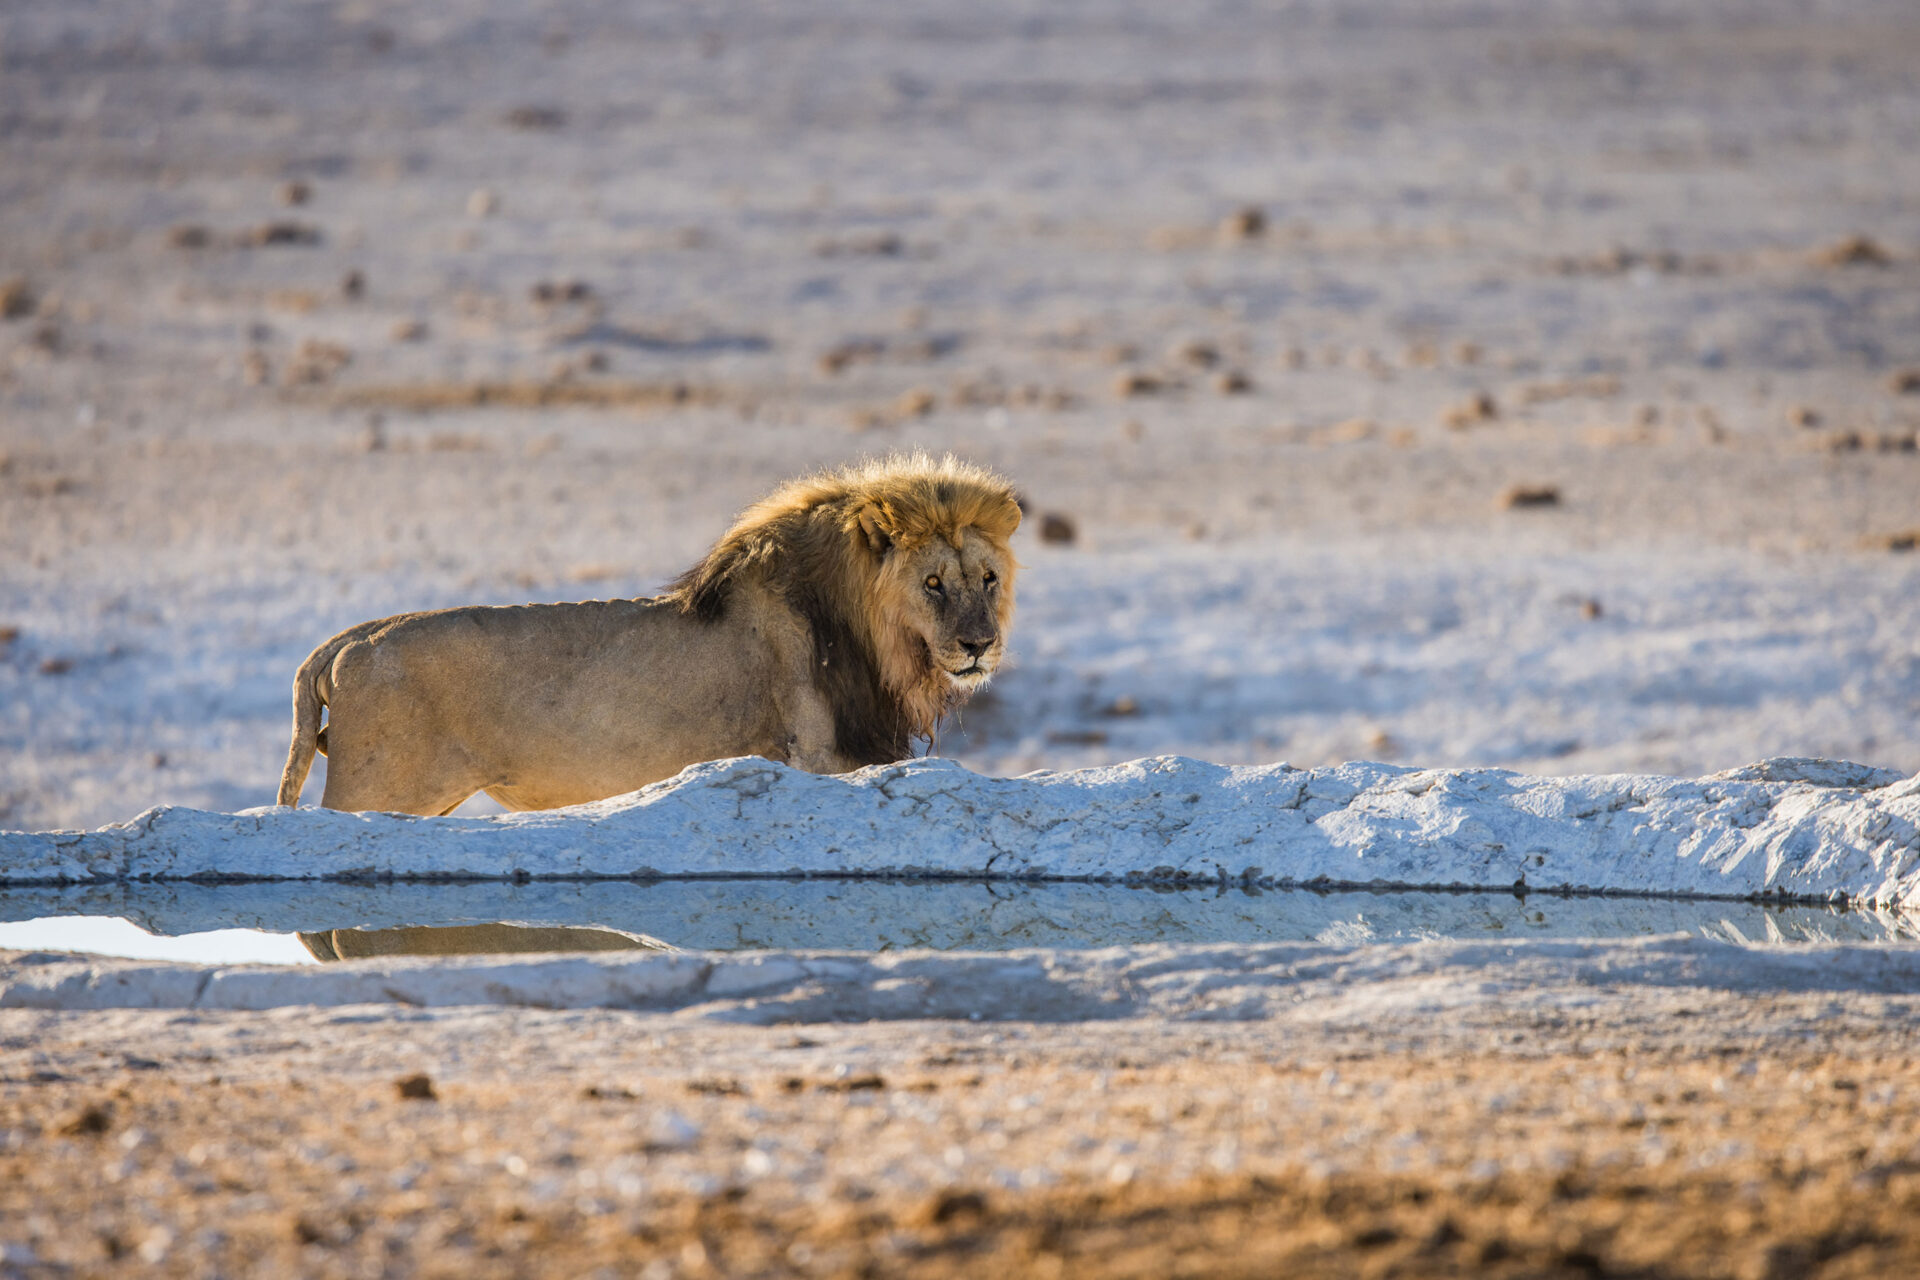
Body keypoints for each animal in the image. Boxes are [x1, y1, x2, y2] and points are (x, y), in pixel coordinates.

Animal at [276, 453, 1020, 815]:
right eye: (932, 583)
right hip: (376, 792)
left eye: (987, 579)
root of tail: (345, 642)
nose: (979, 644)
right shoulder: (816, 760)